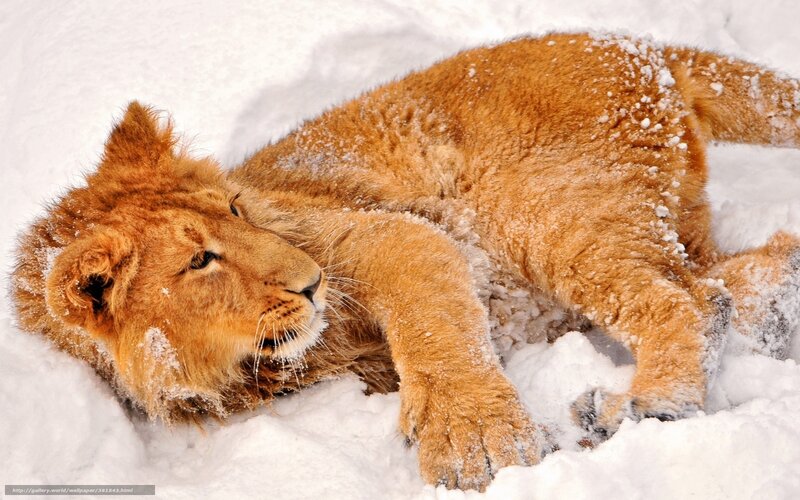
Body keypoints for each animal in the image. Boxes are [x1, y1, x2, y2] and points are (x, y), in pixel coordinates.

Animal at [11, 32, 800, 491]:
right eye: (200, 261)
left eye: (235, 208)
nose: (311, 282)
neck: (243, 368)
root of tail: (636, 44)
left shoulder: (378, 233)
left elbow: (430, 322)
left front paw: (476, 443)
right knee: (732, 278)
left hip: (544, 211)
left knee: (685, 300)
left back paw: (644, 406)